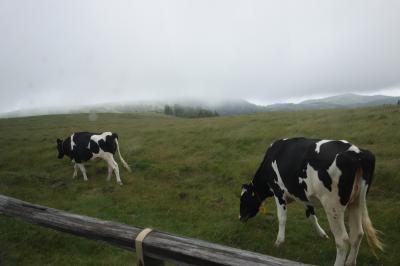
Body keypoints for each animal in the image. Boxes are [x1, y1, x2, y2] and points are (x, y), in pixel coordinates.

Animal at [239, 138, 382, 264]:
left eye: (244, 199)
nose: (240, 218)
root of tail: (358, 153)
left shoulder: (278, 191)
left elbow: (282, 218)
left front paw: (279, 241)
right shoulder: (305, 196)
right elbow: (311, 216)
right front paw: (322, 234)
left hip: (333, 206)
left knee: (343, 241)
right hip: (357, 201)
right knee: (357, 234)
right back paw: (350, 262)